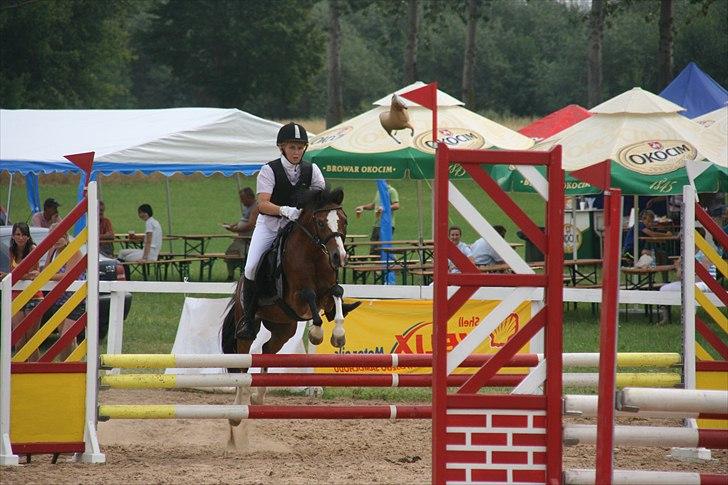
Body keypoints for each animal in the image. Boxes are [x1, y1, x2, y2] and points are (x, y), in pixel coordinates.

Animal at [220, 186, 360, 434]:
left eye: (344, 220)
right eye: (321, 223)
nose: (339, 257)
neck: (314, 254)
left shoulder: (328, 291)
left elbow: (337, 293)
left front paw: (338, 335)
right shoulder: (296, 298)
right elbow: (310, 296)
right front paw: (316, 334)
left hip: (283, 328)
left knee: (267, 350)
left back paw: (258, 397)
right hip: (249, 325)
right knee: (244, 364)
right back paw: (237, 413)